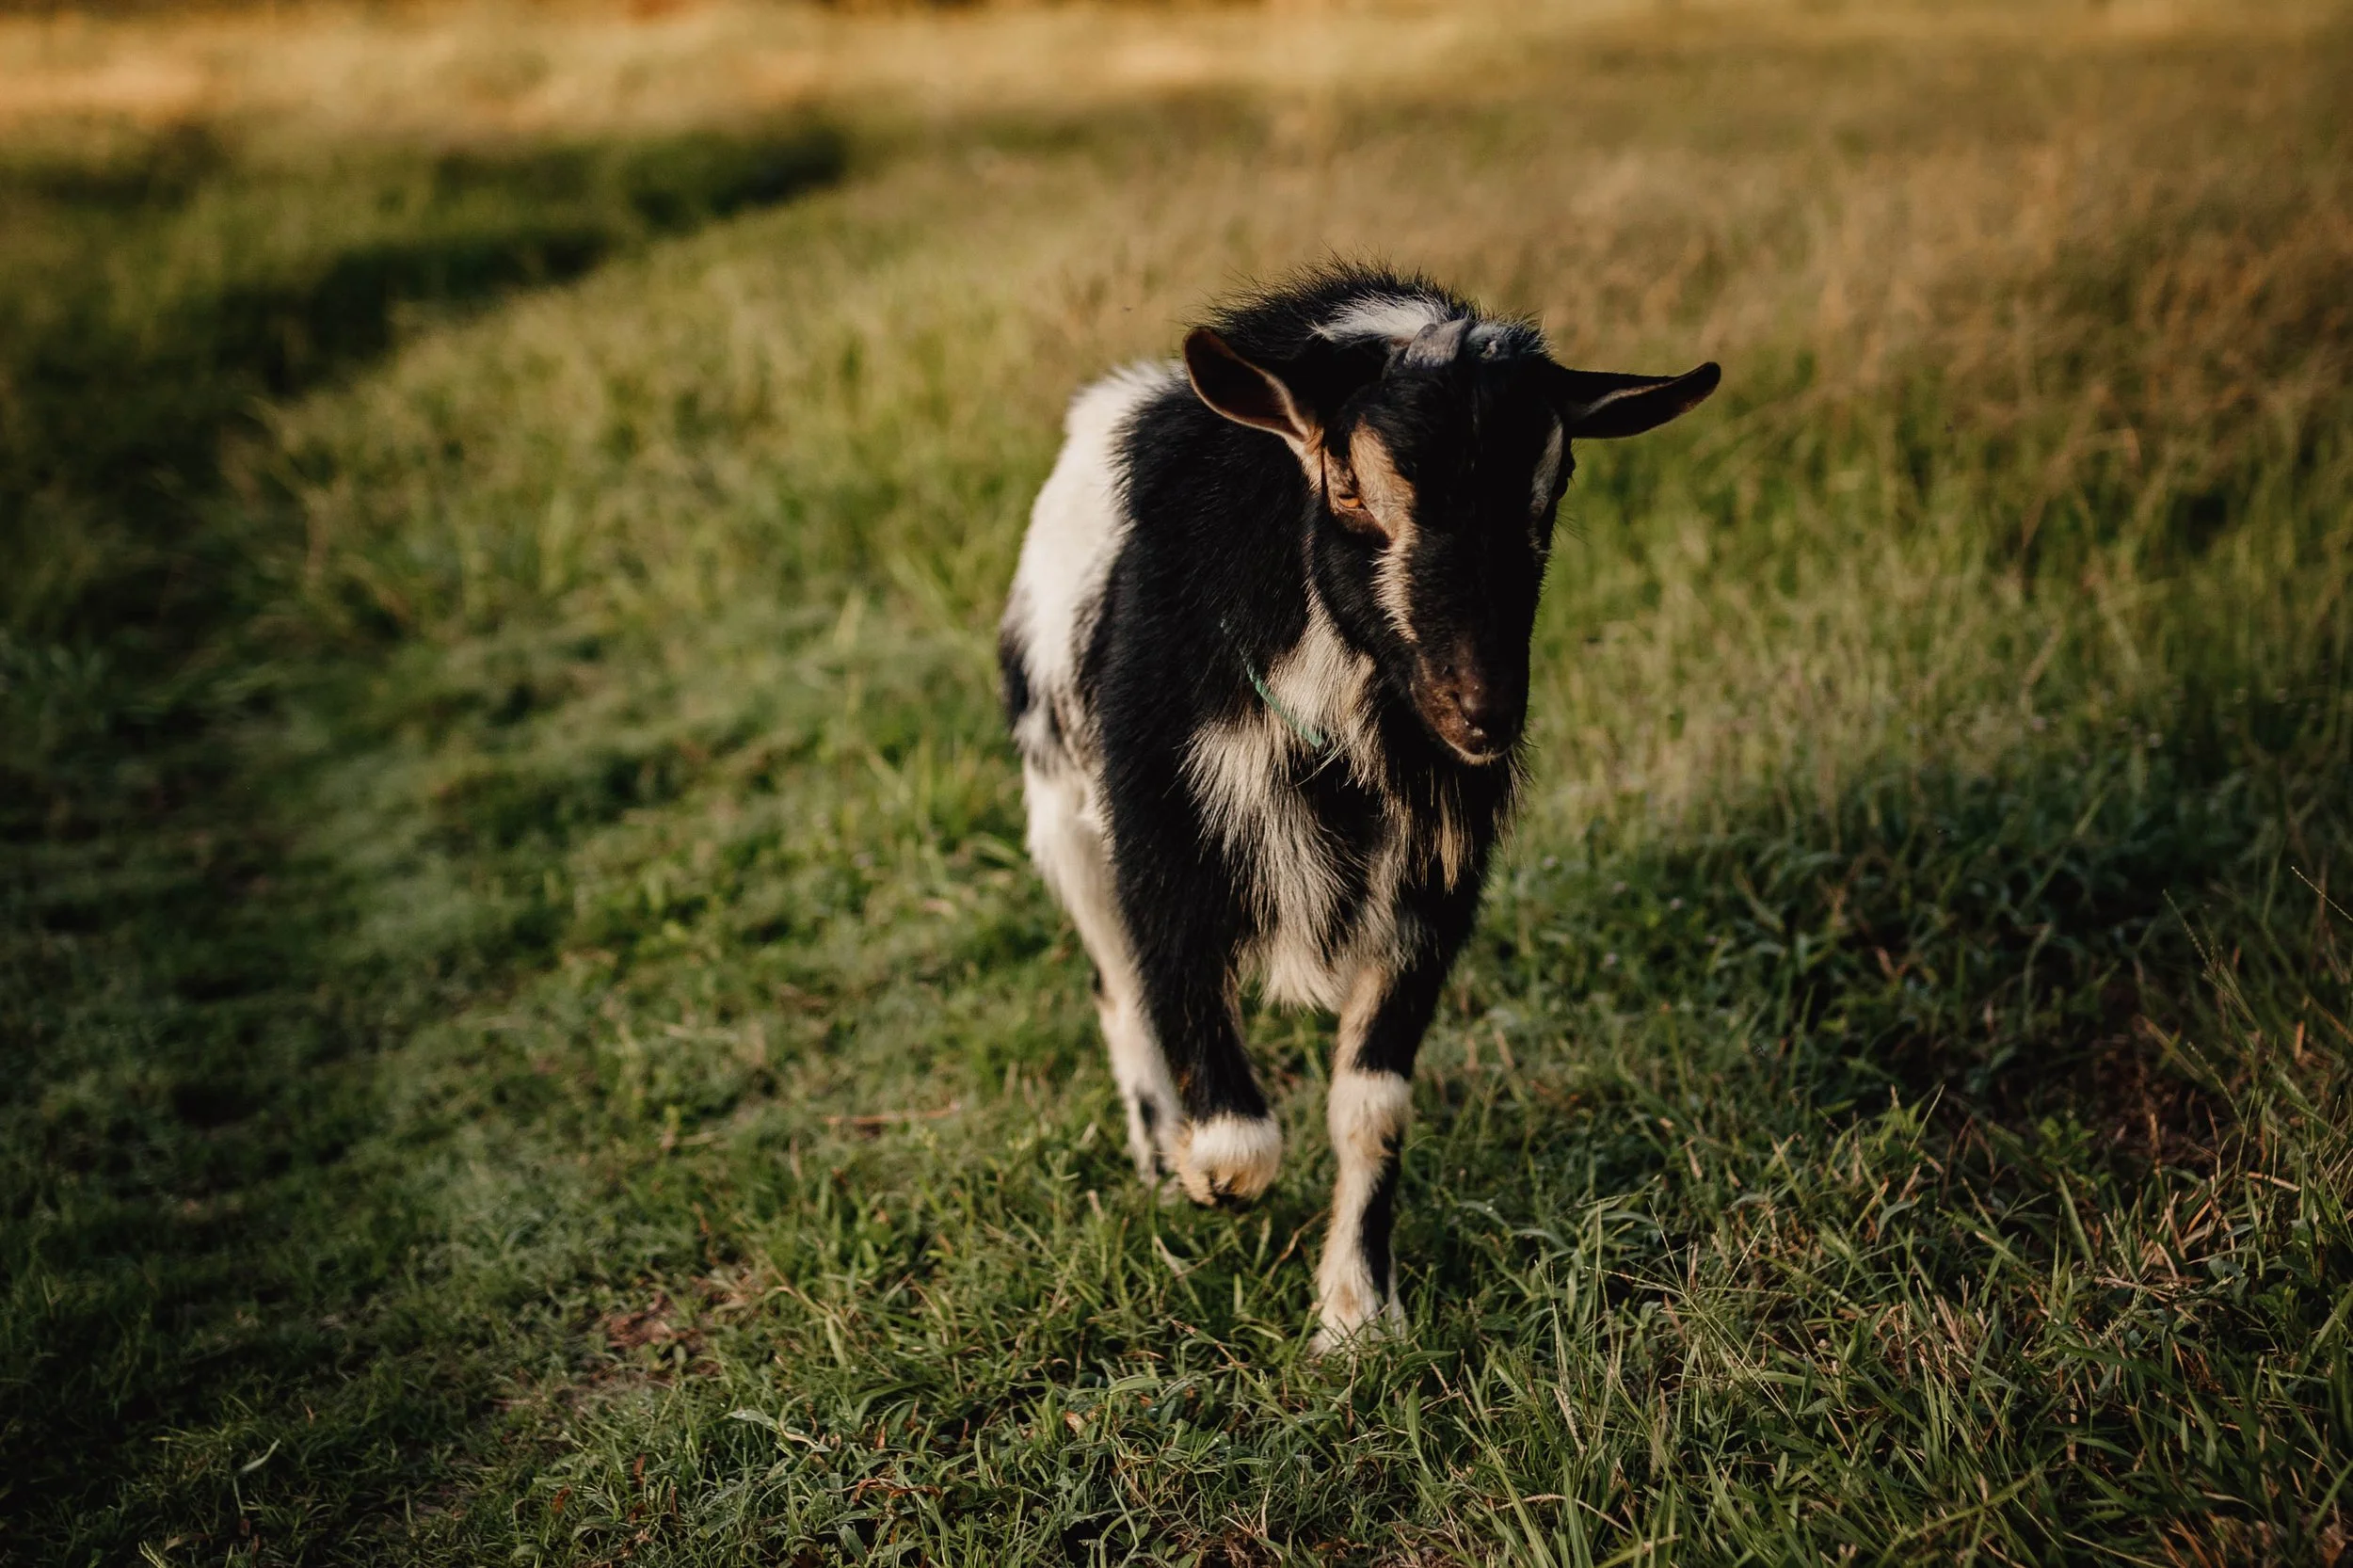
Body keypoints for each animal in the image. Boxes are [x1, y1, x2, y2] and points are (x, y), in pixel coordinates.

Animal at [998, 266, 1719, 1350]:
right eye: (1345, 480)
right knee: (1115, 984)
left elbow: (1372, 1104)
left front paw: (1355, 1314)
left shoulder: (1429, 892)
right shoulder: (1163, 831)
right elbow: (1225, 1104)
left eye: (1551, 490)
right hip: (1063, 810)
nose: (1482, 715)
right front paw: (1207, 1173)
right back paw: (1161, 1163)